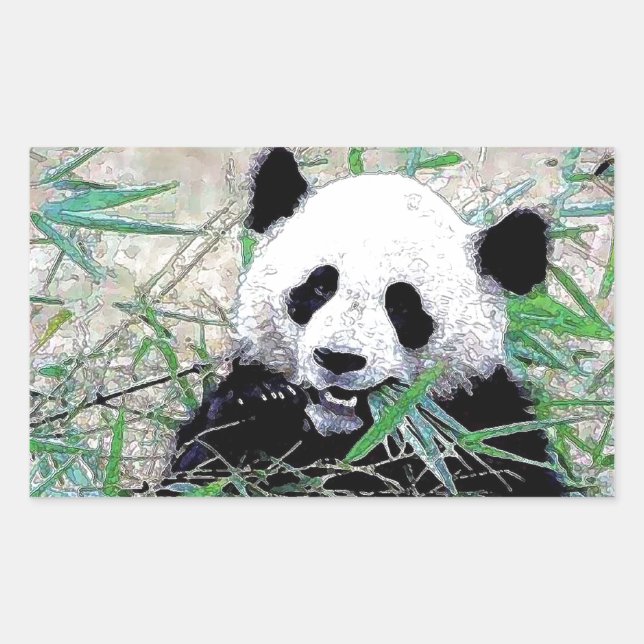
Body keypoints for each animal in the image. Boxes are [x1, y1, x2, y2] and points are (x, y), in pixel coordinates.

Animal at [163, 147, 563, 496]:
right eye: (320, 285)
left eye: (402, 306)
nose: (339, 359)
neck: (342, 435)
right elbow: (195, 471)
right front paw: (263, 402)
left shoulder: (483, 426)